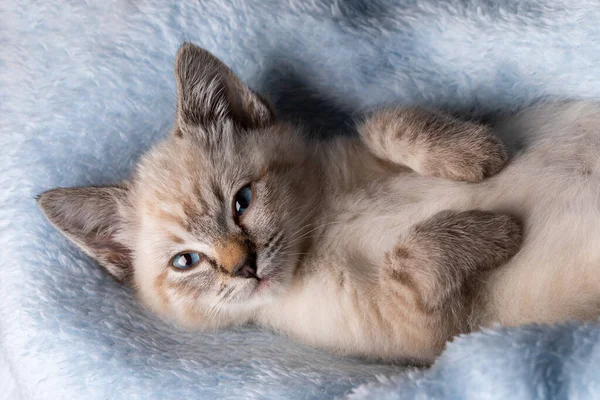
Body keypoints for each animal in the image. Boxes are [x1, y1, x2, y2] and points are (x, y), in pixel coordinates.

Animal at [36, 42, 600, 364]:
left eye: (241, 202)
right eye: (186, 261)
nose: (245, 267)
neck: (318, 232)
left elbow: (384, 121)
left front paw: (476, 156)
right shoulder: (423, 327)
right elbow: (410, 256)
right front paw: (496, 228)